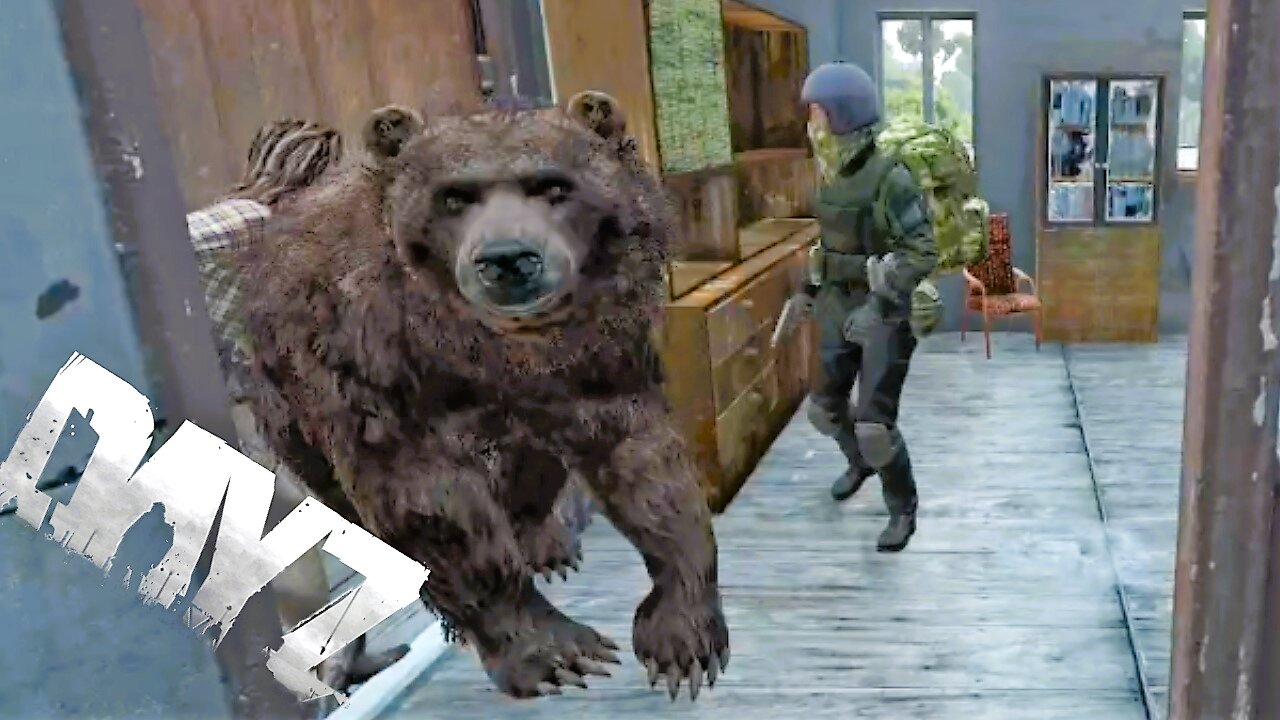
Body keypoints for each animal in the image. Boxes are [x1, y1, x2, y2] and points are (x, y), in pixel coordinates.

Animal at [234, 92, 730, 701]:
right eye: (454, 195)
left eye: (553, 186)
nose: (509, 258)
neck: (495, 351)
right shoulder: (375, 373)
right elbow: (433, 506)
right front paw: (556, 651)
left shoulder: (597, 358)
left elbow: (643, 462)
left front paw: (683, 635)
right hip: (286, 409)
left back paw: (543, 540)